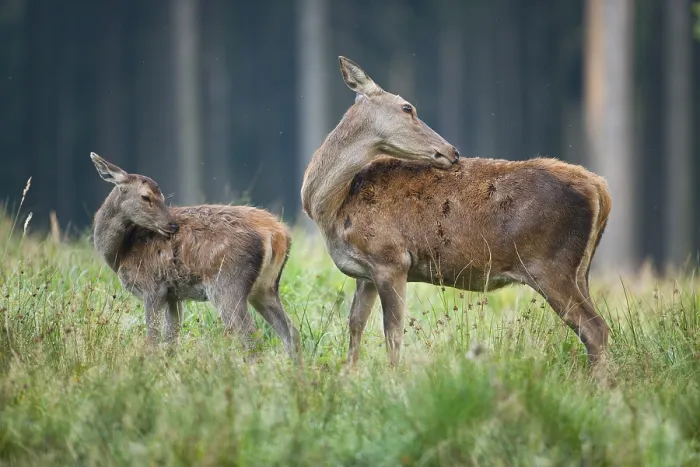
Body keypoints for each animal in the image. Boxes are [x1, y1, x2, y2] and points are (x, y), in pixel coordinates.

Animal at [90, 152, 301, 361]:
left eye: (162, 197)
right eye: (145, 196)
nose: (172, 225)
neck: (120, 253)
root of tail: (277, 233)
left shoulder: (153, 287)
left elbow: (153, 341)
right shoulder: (173, 295)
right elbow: (171, 342)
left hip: (227, 284)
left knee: (251, 336)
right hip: (265, 287)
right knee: (291, 331)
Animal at [301, 57, 612, 370]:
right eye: (408, 108)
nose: (452, 151)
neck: (334, 208)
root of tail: (600, 189)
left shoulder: (391, 259)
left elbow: (392, 332)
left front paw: (392, 376)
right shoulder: (365, 273)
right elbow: (355, 325)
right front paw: (349, 374)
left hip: (550, 265)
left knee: (594, 329)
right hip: (579, 270)